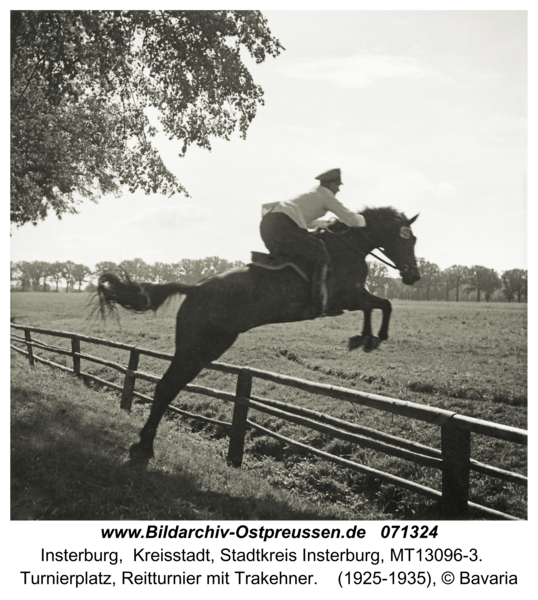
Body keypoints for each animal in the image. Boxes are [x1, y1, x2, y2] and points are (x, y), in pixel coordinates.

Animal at [94, 204, 418, 462]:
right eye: (408, 239)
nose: (414, 276)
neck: (349, 247)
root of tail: (194, 288)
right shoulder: (348, 297)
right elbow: (384, 304)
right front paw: (375, 337)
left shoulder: (356, 298)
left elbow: (377, 307)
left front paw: (364, 338)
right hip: (198, 347)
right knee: (166, 387)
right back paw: (143, 447)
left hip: (208, 347)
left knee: (169, 387)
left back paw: (144, 444)